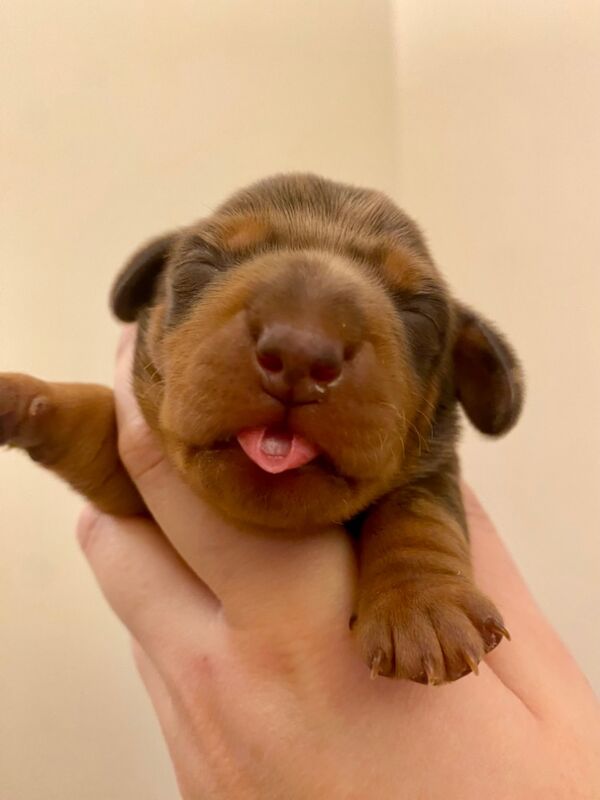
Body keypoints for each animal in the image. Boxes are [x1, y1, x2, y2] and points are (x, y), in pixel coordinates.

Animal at [0, 173, 524, 680]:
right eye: (203, 263)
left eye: (420, 313)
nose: (299, 353)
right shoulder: (139, 485)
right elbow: (95, 418)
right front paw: (24, 396)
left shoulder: (434, 469)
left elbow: (416, 508)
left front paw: (423, 604)